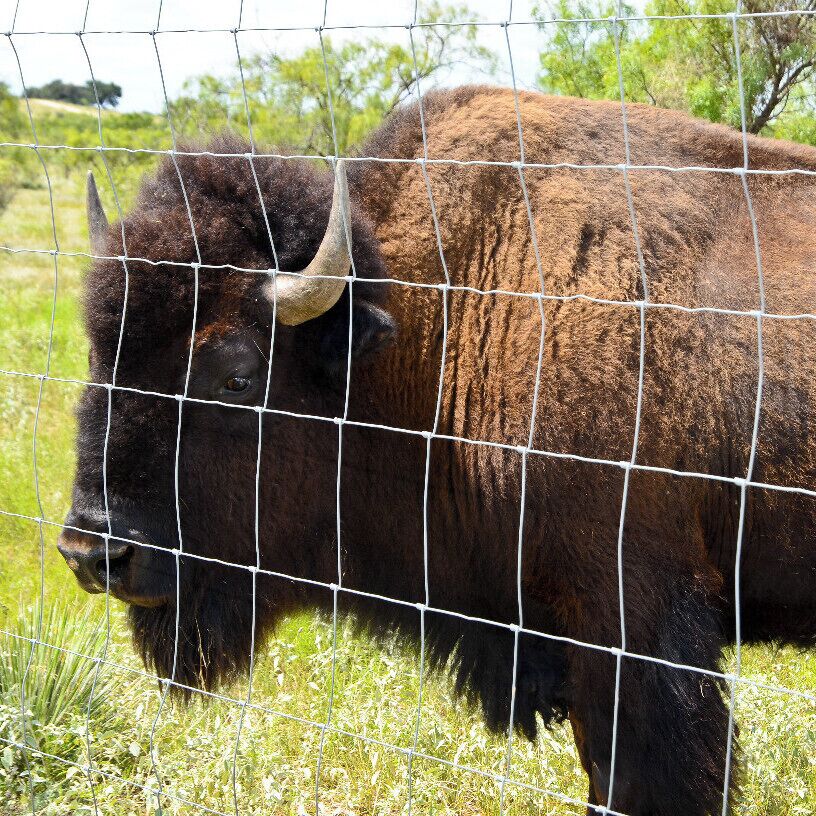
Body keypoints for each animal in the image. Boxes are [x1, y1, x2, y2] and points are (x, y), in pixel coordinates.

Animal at [57, 86, 816, 815]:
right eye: (96, 353)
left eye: (236, 377)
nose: (92, 553)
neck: (446, 316)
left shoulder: (636, 622)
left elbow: (636, 781)